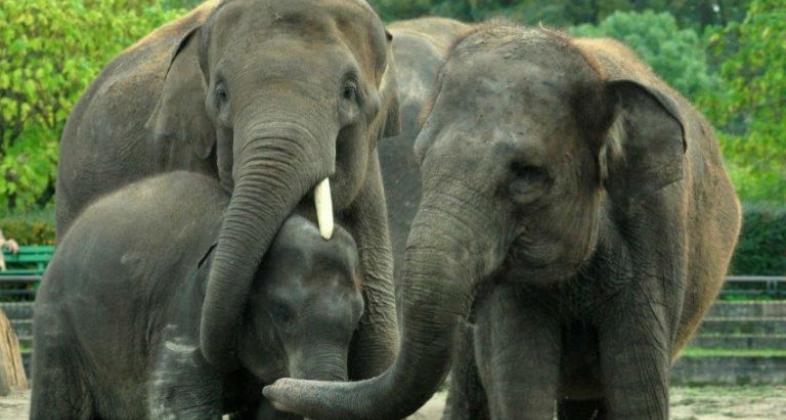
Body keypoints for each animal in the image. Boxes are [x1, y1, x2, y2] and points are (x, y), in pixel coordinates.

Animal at [29, 170, 362, 416]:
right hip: (57, 326)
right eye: (283, 314)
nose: (270, 388)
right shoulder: (185, 309)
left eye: (358, 318)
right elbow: (181, 405)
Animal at [264, 24, 740, 418]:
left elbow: (637, 390)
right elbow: (520, 385)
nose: (274, 387)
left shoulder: (655, 229)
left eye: (527, 174)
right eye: (421, 158)